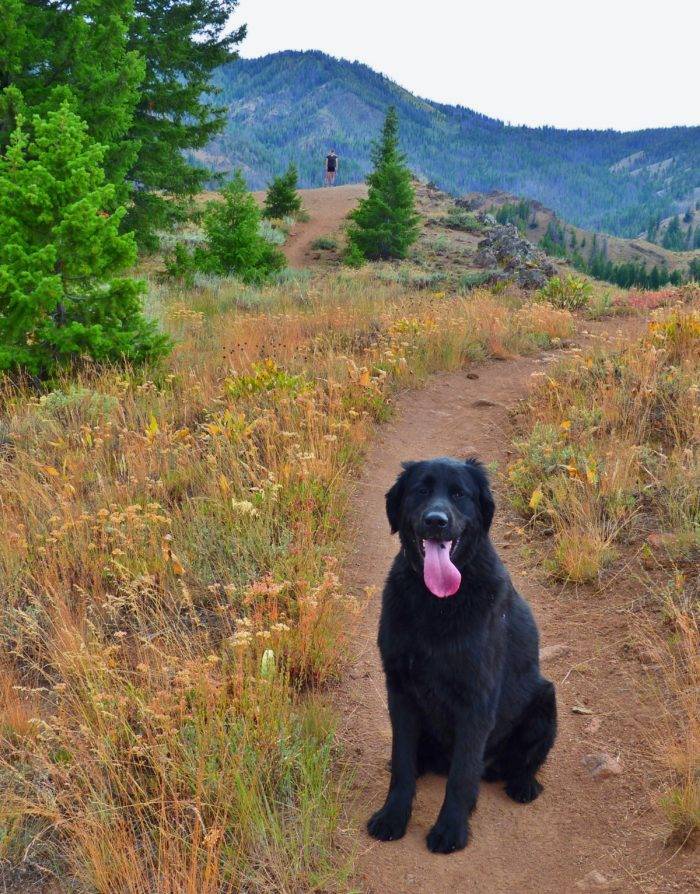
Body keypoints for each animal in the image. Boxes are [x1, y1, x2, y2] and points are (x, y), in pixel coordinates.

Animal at [366, 458, 556, 856]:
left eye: (459, 494)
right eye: (421, 490)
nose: (436, 521)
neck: (436, 603)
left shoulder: (476, 702)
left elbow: (462, 776)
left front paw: (451, 829)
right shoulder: (400, 691)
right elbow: (402, 765)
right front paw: (393, 816)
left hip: (546, 699)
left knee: (524, 763)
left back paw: (523, 784)